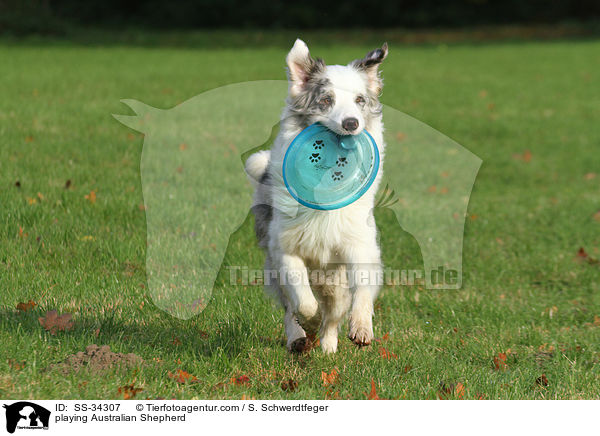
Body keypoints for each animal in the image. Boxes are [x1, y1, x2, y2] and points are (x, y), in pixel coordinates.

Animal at [245, 38, 390, 354]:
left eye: (360, 100)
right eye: (326, 100)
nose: (351, 123)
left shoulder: (360, 245)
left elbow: (362, 290)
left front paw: (362, 328)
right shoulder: (285, 251)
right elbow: (303, 302)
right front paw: (307, 324)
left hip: (334, 281)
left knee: (334, 313)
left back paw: (328, 347)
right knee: (291, 309)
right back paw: (299, 339)